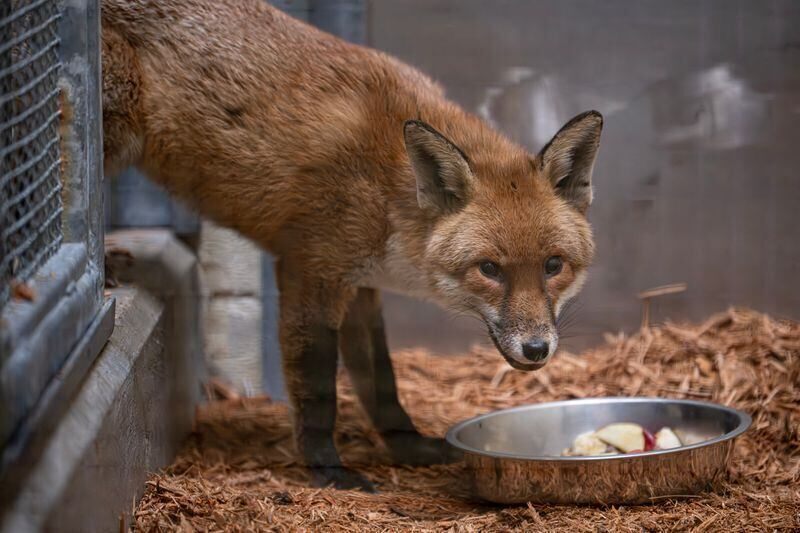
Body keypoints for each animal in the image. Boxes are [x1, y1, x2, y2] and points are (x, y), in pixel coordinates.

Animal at [100, 0, 602, 491]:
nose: (537, 349)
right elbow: (319, 388)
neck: (389, 193)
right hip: (116, 126)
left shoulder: (361, 286)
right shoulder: (311, 270)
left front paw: (409, 448)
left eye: (553, 265)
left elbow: (382, 383)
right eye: (490, 269)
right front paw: (328, 469)